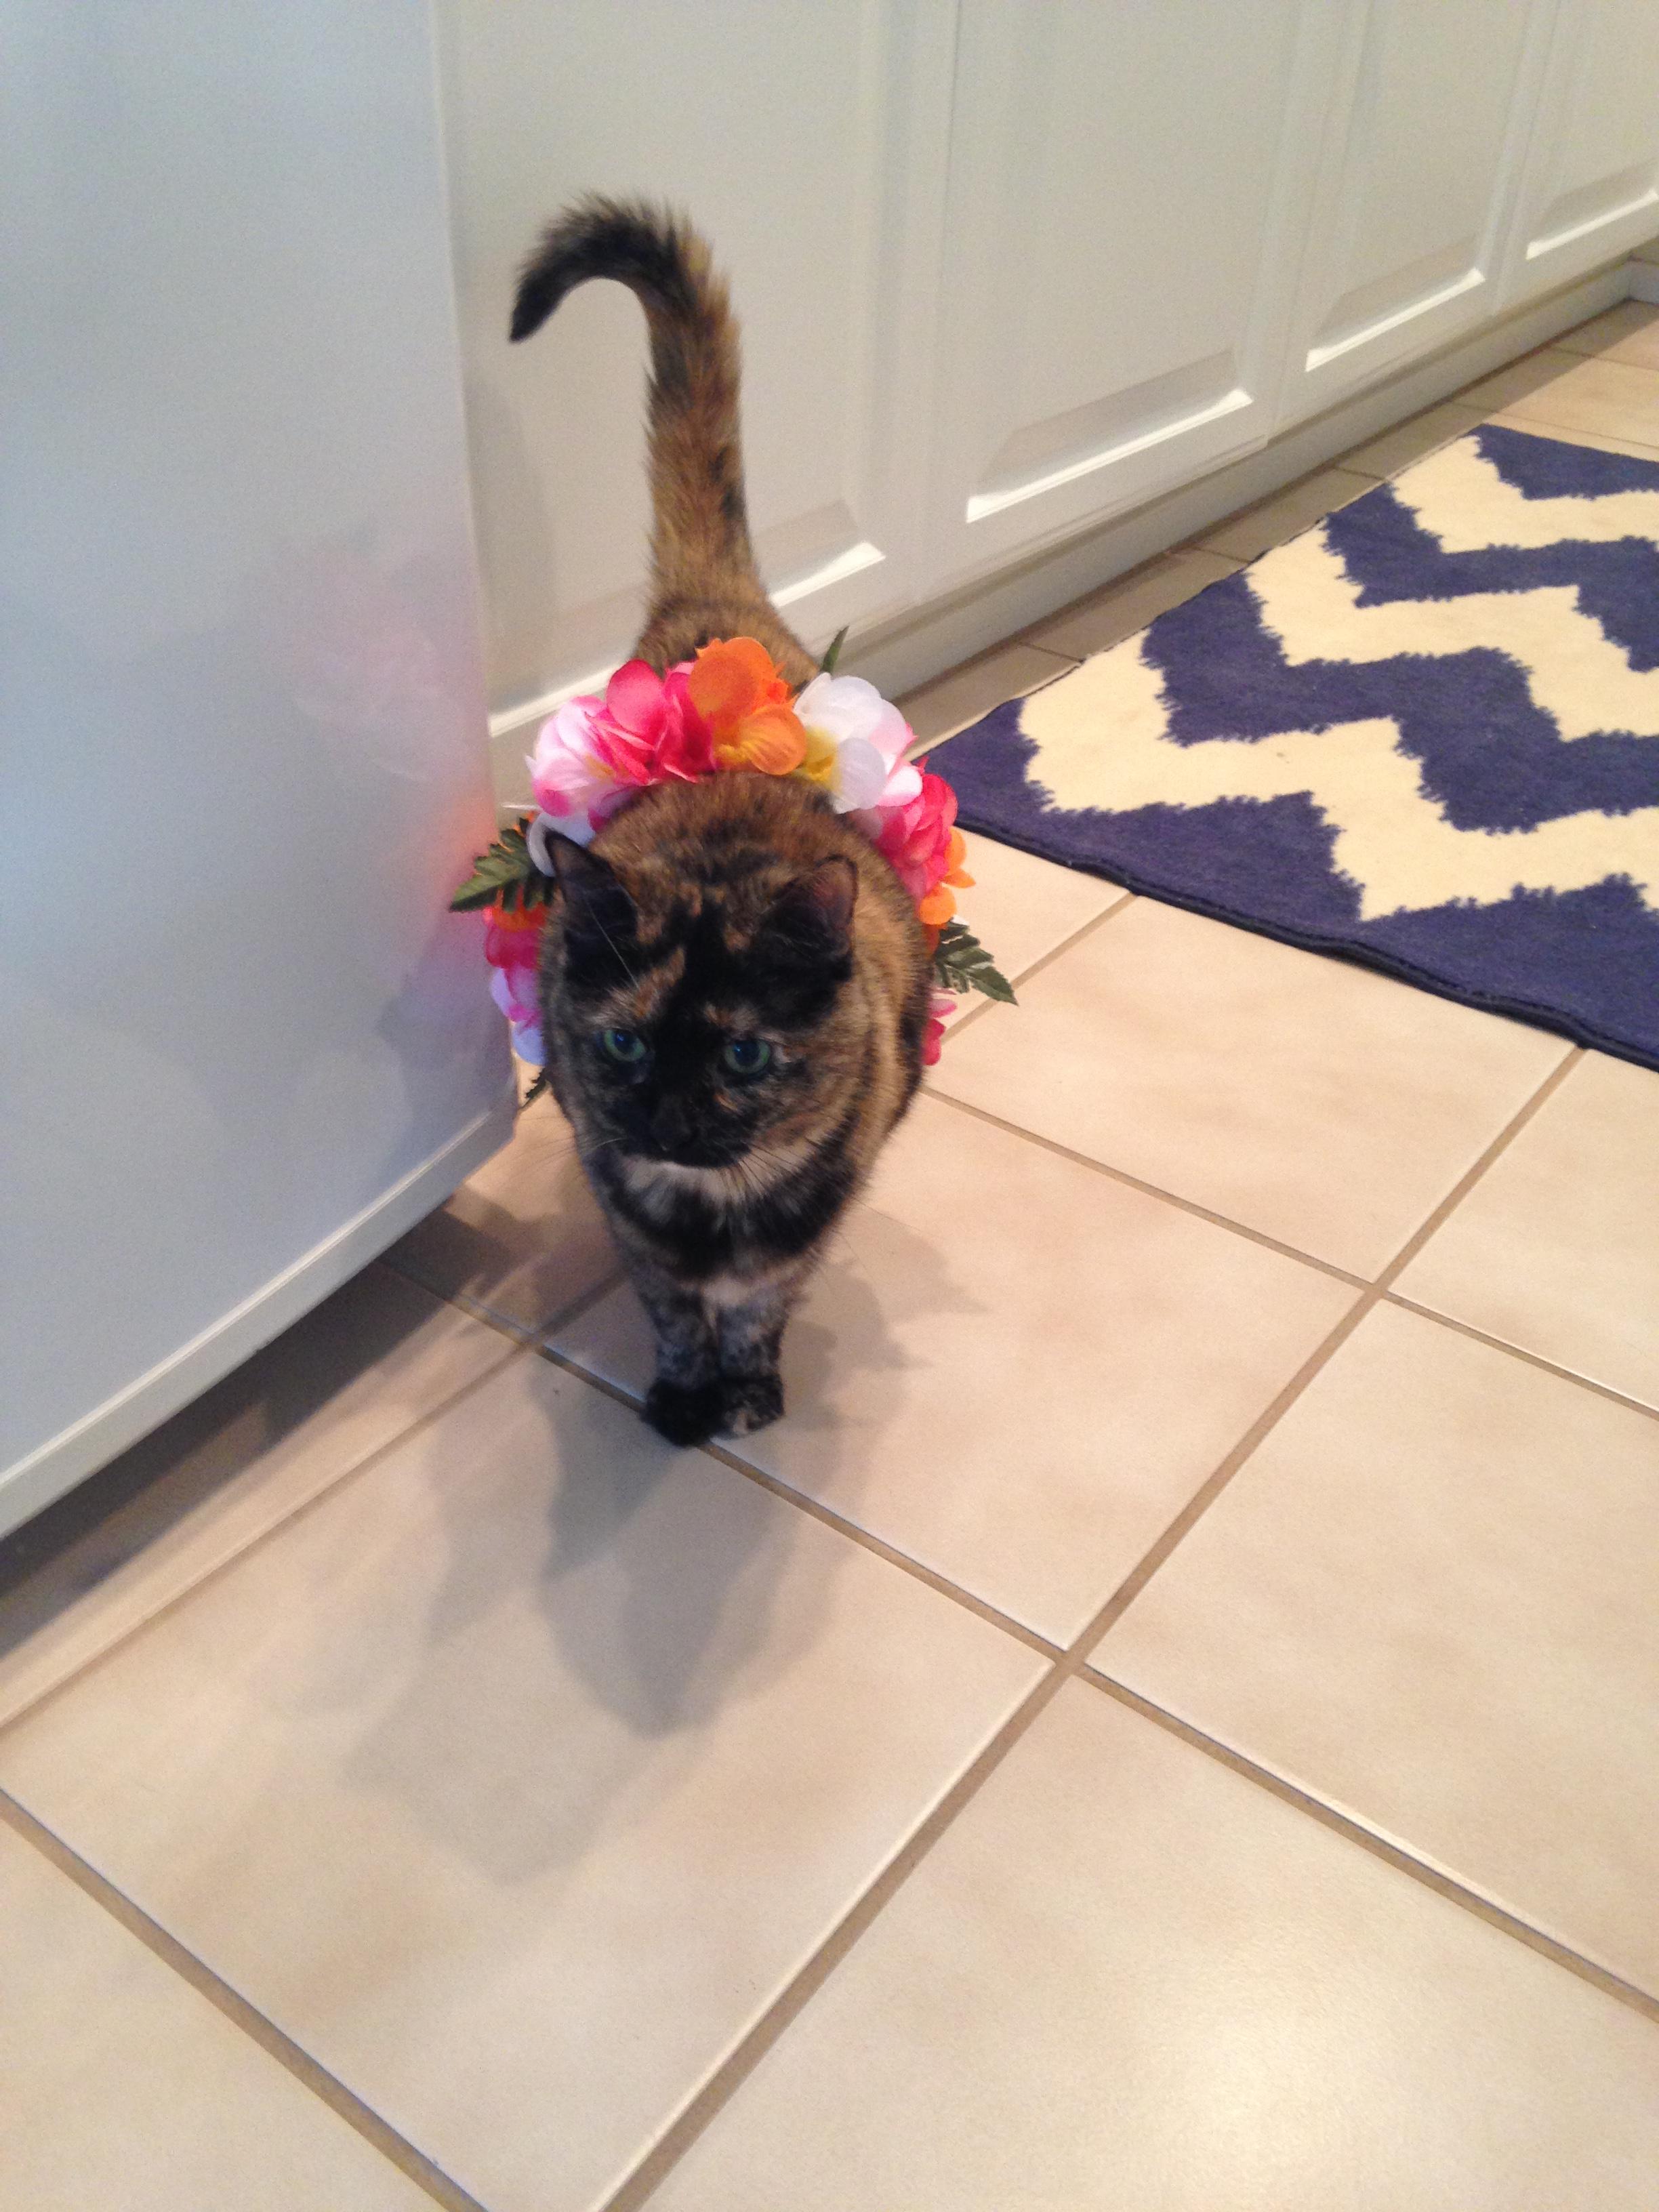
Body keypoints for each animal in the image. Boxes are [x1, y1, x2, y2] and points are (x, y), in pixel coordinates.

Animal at [511, 199, 931, 1447]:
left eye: (745, 1051)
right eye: (622, 1043)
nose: (666, 1111)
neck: (713, 1209)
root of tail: (715, 619)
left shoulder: (804, 1229)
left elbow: (754, 1307)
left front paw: (745, 1389)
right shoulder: (628, 1214)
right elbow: (671, 1309)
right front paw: (680, 1393)